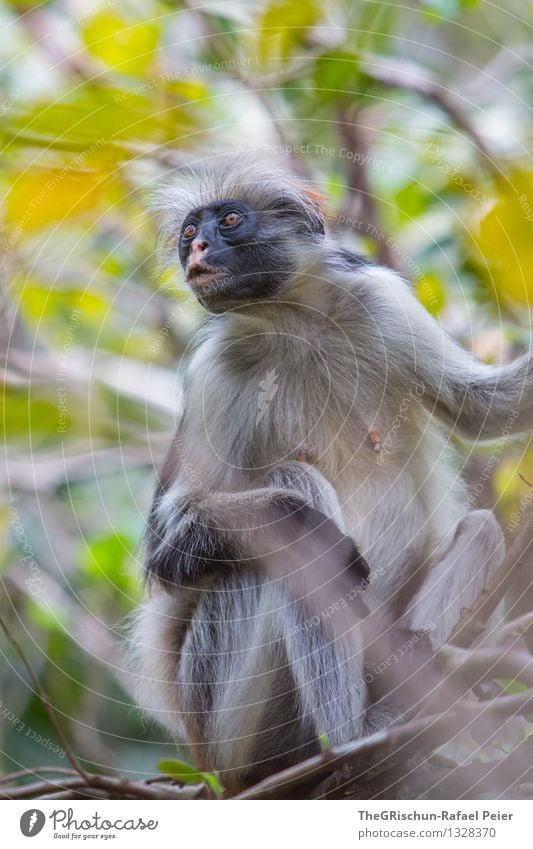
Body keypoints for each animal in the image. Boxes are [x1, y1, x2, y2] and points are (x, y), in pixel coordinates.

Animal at [125, 154, 528, 796]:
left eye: (229, 221)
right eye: (190, 233)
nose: (199, 249)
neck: (293, 318)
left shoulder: (379, 300)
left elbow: (488, 412)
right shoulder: (216, 371)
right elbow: (167, 555)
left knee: (484, 530)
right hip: (223, 724)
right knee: (291, 523)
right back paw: (350, 743)